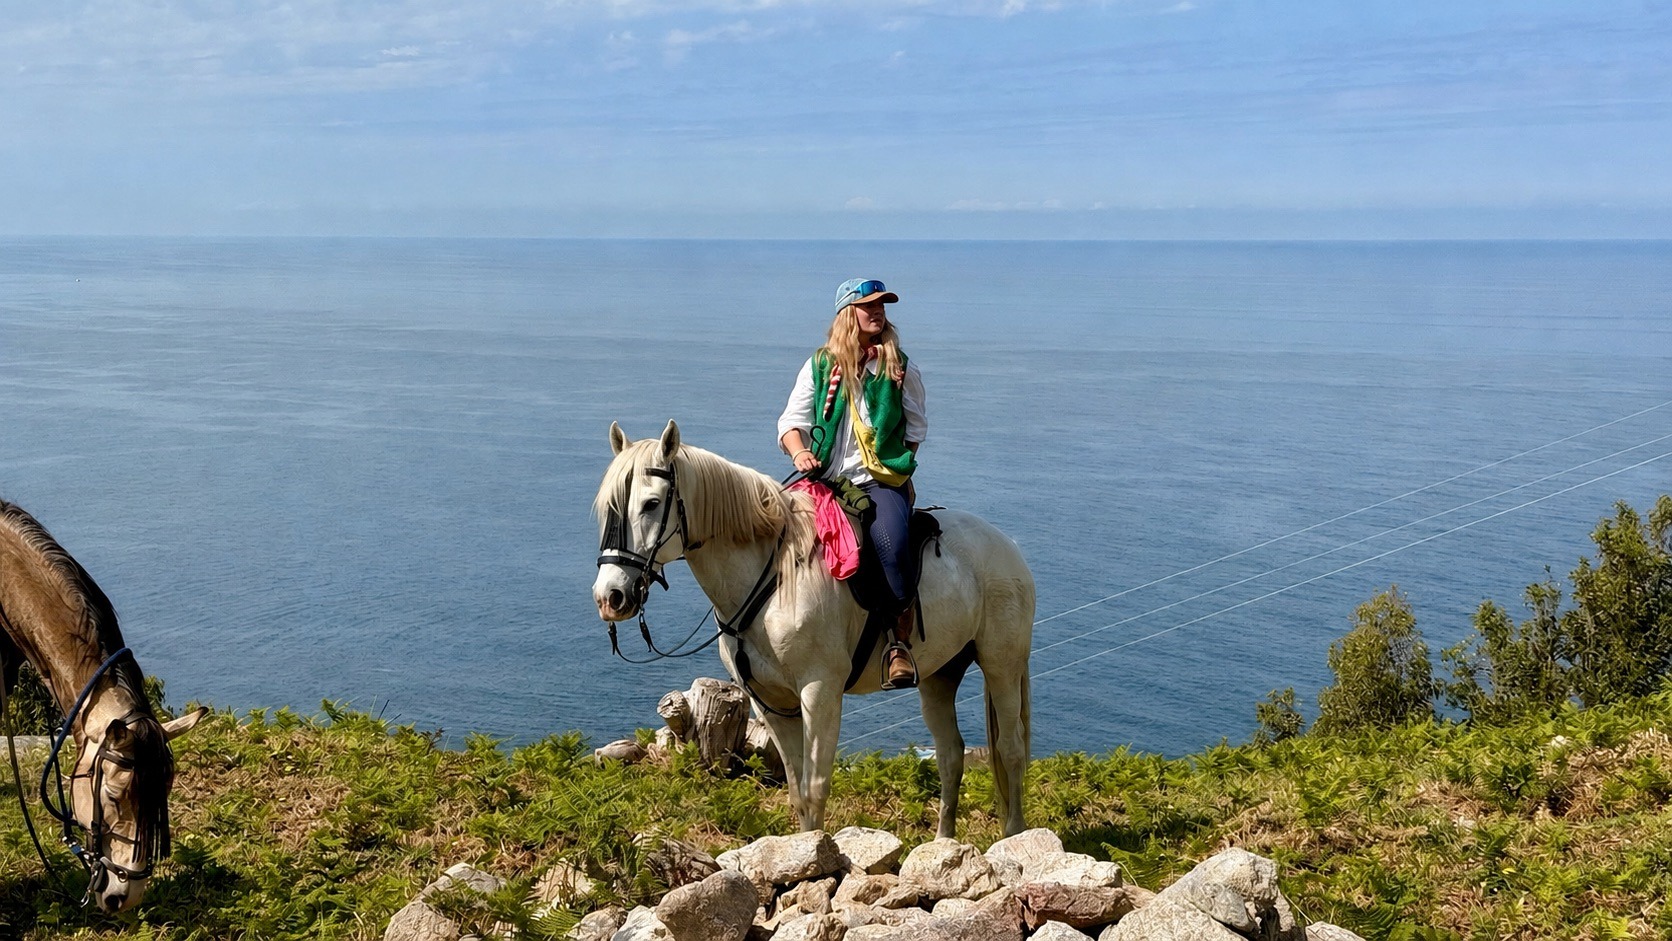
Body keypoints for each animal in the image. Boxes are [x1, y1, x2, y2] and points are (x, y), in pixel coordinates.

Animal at [591, 421, 1035, 838]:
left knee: (1011, 748)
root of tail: (1008, 547)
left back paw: (1013, 834)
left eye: (651, 504)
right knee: (950, 754)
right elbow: (798, 791)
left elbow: (817, 786)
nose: (610, 596)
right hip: (939, 675)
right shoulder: (771, 703)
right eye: (608, 509)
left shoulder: (819, 692)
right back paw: (943, 842)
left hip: (1002, 666)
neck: (776, 575)